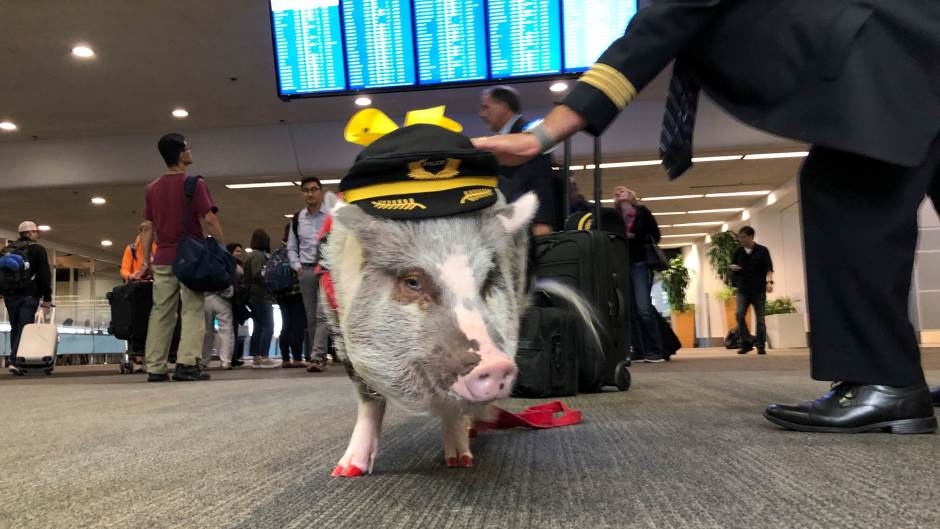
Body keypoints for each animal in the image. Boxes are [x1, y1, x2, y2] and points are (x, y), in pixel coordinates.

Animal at [318, 191, 599, 477]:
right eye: (412, 282)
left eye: (487, 283)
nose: (496, 365)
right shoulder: (337, 326)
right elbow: (369, 400)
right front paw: (346, 471)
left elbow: (453, 406)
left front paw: (460, 461)